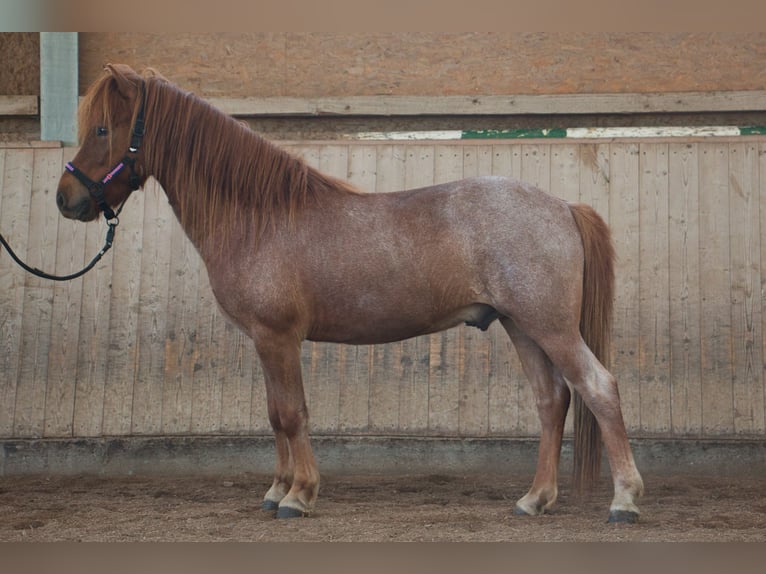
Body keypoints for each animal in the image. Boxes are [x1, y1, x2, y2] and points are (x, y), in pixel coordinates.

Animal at [55, 64, 643, 523]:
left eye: (104, 128)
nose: (66, 199)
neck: (260, 217)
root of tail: (563, 206)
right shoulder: (265, 342)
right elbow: (275, 414)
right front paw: (276, 491)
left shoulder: (278, 338)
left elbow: (293, 413)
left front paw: (299, 495)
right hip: (521, 326)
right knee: (552, 400)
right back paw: (534, 499)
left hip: (550, 326)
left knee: (598, 388)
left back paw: (624, 501)